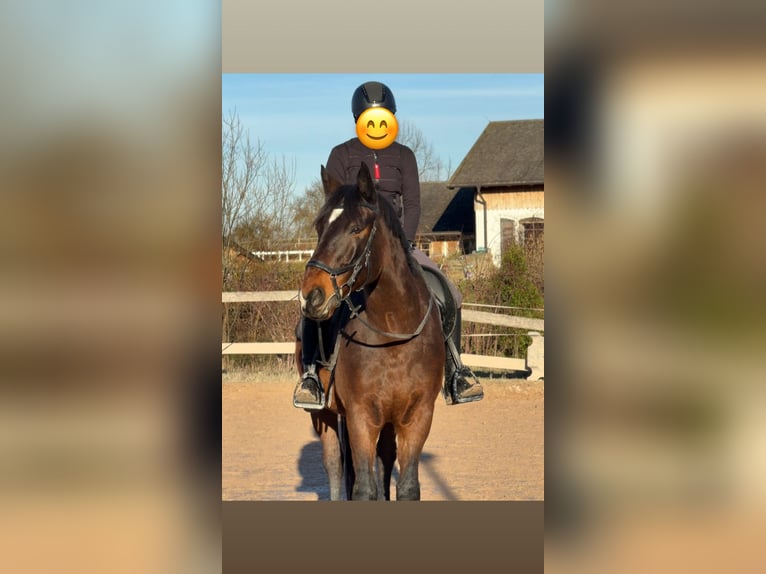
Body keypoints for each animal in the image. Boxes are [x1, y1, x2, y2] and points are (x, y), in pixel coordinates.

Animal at [295, 163, 445, 501]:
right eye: (319, 226)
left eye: (356, 228)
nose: (311, 296)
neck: (393, 333)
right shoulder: (360, 417)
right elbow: (364, 489)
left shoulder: (418, 417)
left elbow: (407, 487)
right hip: (324, 415)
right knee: (335, 467)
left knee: (385, 460)